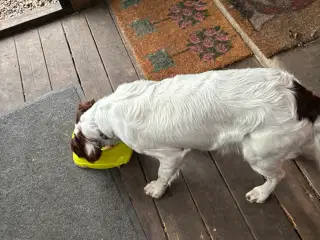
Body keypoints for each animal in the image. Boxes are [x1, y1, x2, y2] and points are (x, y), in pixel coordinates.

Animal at [70, 68, 320, 203]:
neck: (107, 112)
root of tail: (304, 98)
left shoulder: (169, 154)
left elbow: (162, 174)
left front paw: (157, 189)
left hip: (257, 151)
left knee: (278, 176)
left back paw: (261, 193)